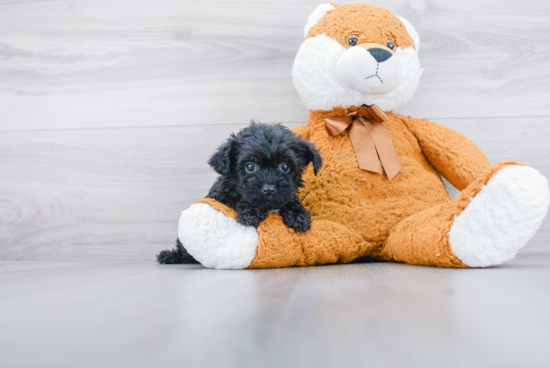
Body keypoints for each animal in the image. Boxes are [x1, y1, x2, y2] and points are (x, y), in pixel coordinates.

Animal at [156, 123, 324, 264]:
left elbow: (289, 200)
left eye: (285, 167)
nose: (269, 189)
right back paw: (170, 256)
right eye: (250, 166)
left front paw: (298, 215)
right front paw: (251, 212)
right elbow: (238, 199)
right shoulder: (222, 196)